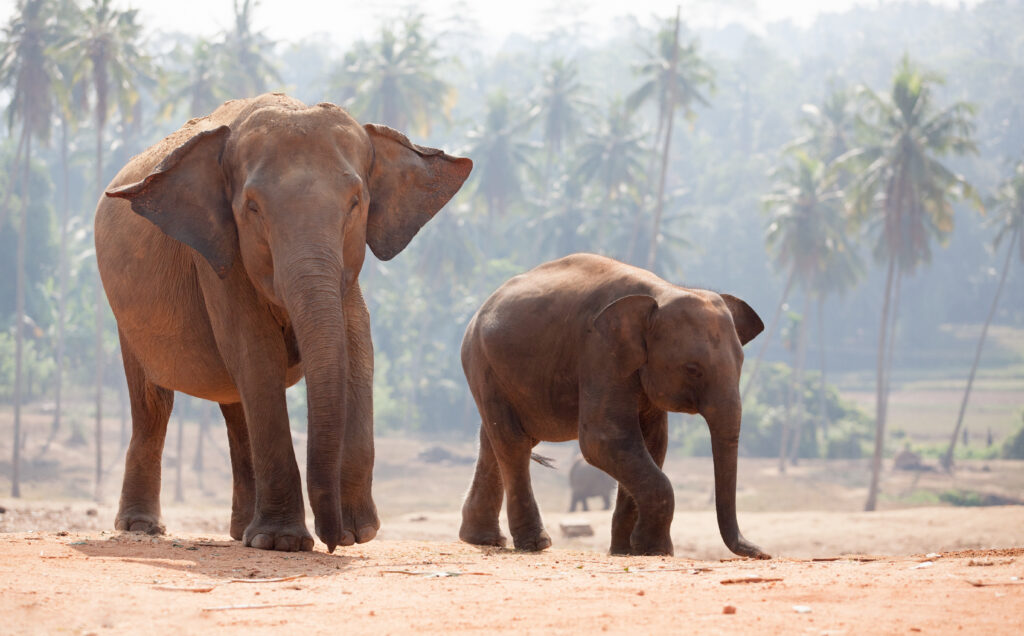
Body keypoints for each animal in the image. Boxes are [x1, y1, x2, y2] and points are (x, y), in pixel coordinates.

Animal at [97, 93, 473, 548]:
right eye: (253, 208)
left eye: (355, 202)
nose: (334, 538)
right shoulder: (219, 258)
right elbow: (256, 354)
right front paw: (284, 542)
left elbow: (357, 344)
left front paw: (359, 531)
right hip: (125, 318)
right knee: (154, 403)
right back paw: (143, 528)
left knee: (235, 406)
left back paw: (242, 531)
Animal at [458, 252, 770, 557]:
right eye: (693, 370)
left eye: (741, 363)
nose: (761, 552)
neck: (662, 290)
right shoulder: (601, 350)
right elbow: (604, 439)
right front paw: (656, 550)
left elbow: (653, 443)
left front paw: (628, 551)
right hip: (482, 363)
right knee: (513, 442)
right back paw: (535, 544)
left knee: (495, 440)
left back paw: (483, 539)